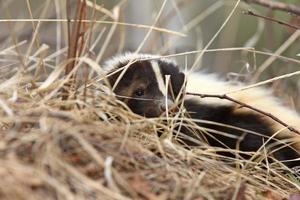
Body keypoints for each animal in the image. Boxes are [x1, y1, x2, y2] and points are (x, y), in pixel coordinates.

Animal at [103, 52, 300, 168]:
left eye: (173, 92)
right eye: (139, 91)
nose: (167, 107)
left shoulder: (192, 120)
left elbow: (189, 140)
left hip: (247, 126)